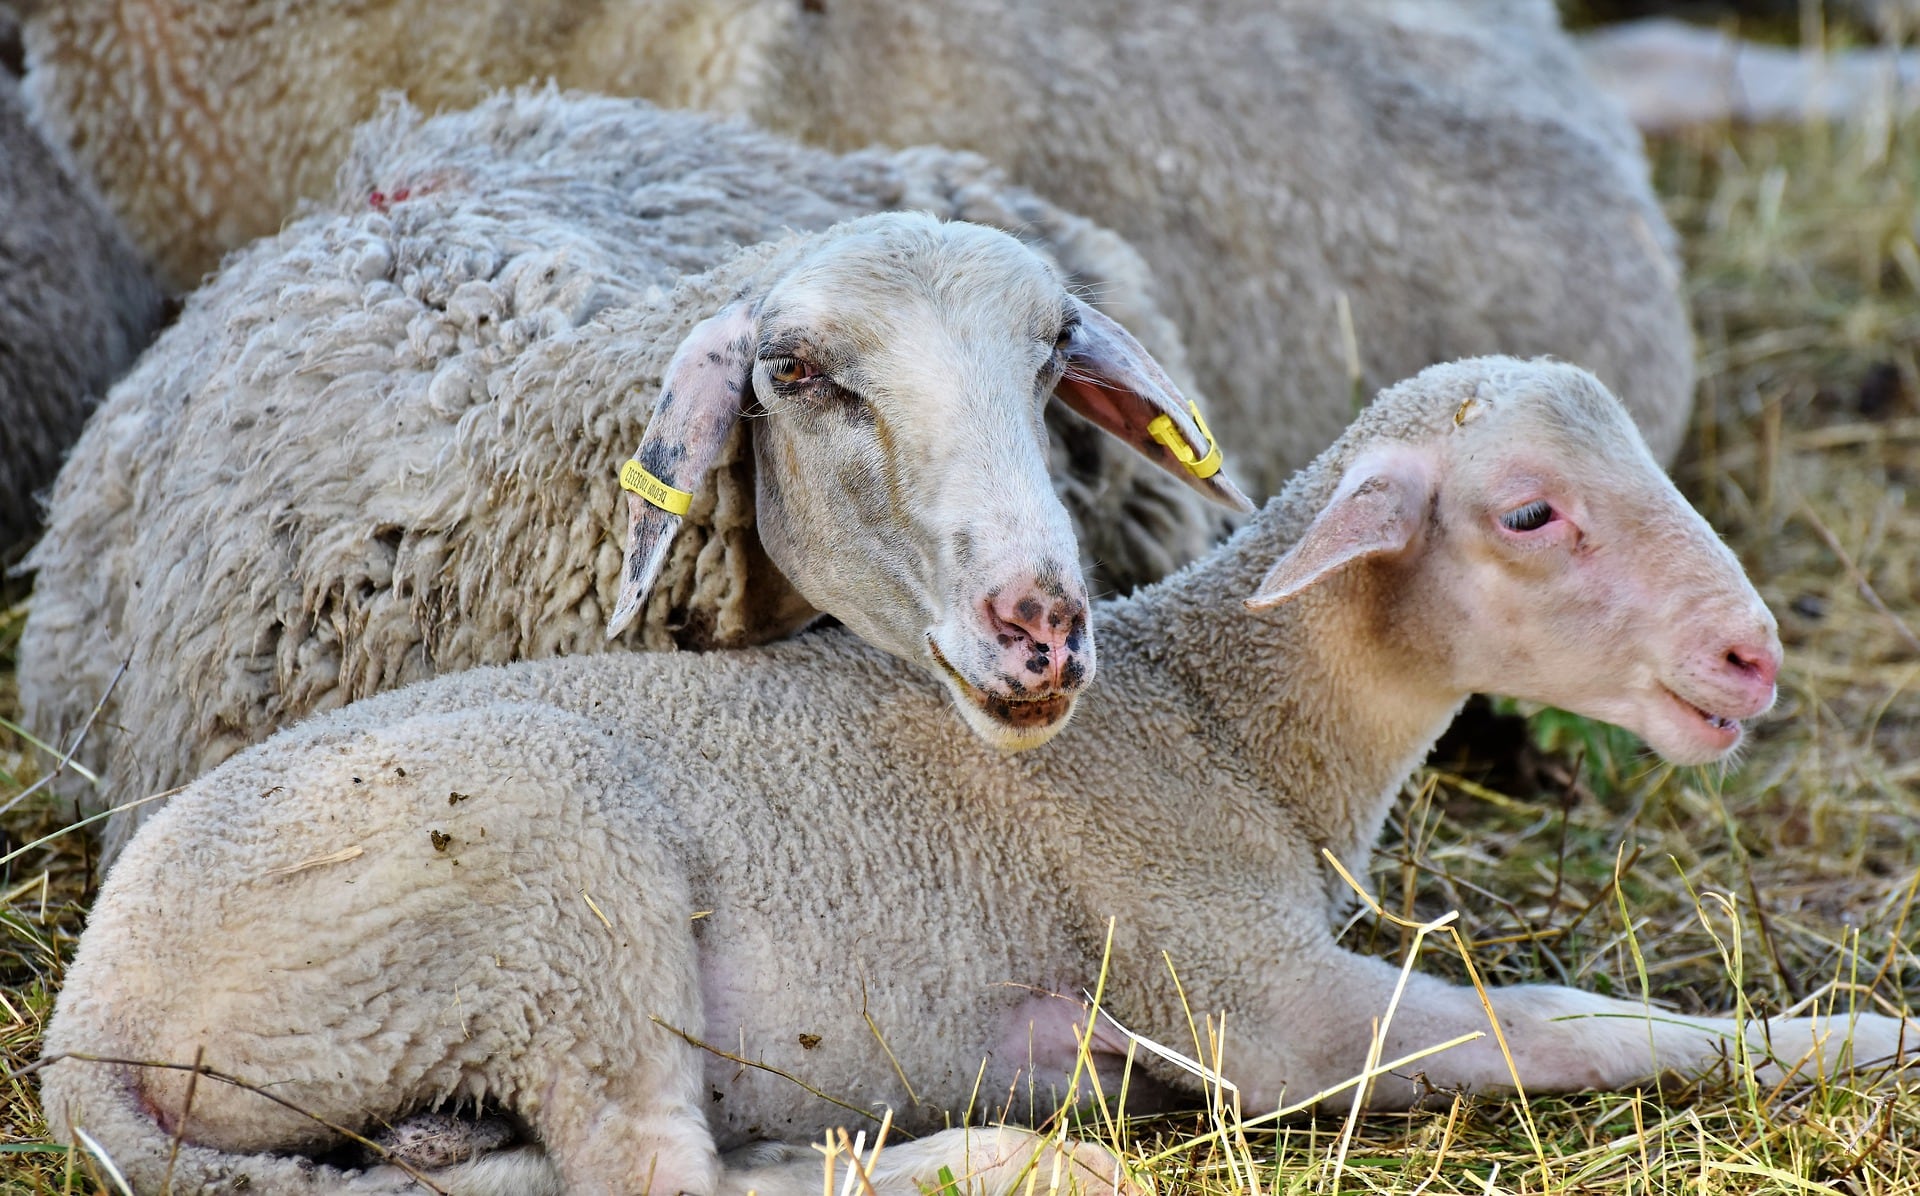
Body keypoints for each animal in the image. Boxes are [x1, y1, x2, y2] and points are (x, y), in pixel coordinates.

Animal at [41, 355, 1904, 1196]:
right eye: (1530, 512)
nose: (1752, 661)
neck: (1221, 719)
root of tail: (88, 1017)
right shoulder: (1253, 1002)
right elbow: (1561, 1021)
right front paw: (1849, 1041)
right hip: (548, 880)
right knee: (650, 1169)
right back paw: (1014, 1157)